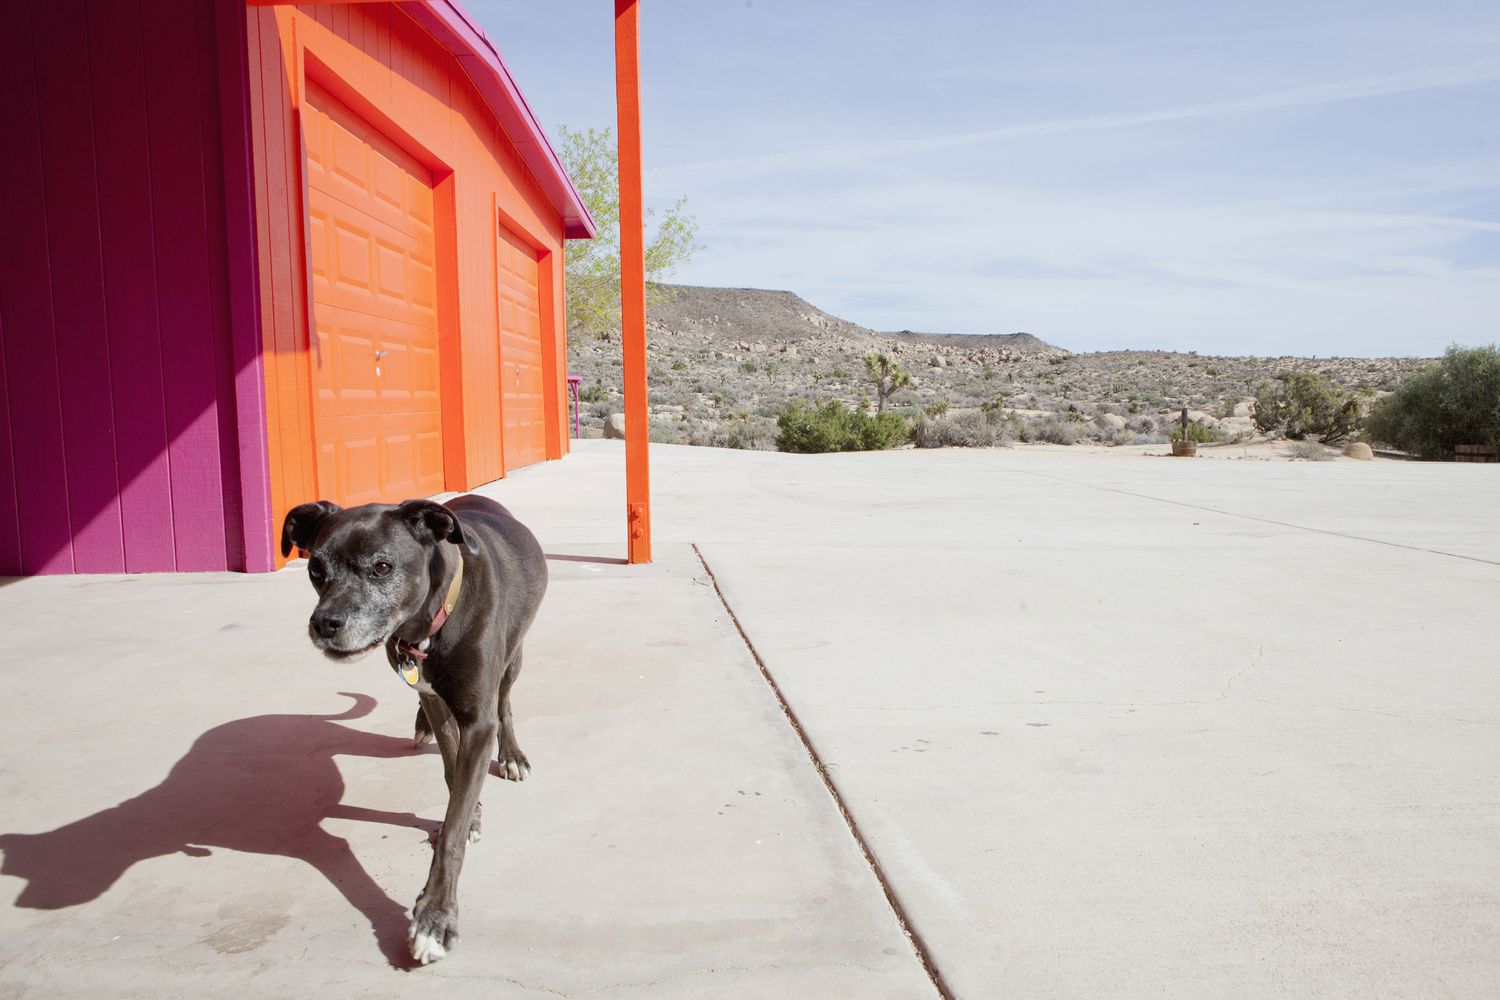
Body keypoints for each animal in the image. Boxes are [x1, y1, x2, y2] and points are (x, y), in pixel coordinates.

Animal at [279, 497, 549, 965]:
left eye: (382, 567)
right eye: (315, 569)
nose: (324, 624)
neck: (426, 627)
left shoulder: (478, 721)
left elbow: (453, 830)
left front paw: (435, 919)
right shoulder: (437, 703)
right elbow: (452, 773)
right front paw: (472, 812)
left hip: (513, 657)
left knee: (506, 702)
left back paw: (512, 755)